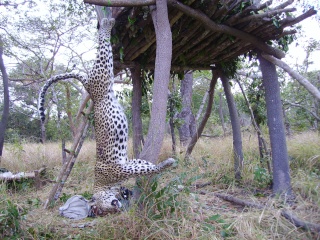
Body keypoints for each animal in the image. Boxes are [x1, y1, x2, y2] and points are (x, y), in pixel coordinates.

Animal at [39, 17, 176, 212]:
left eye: (99, 210)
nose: (116, 208)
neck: (102, 185)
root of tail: (87, 84)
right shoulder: (127, 165)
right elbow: (145, 165)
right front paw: (164, 165)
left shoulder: (120, 169)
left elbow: (147, 168)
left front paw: (165, 165)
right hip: (104, 81)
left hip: (101, 75)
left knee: (103, 50)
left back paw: (106, 23)